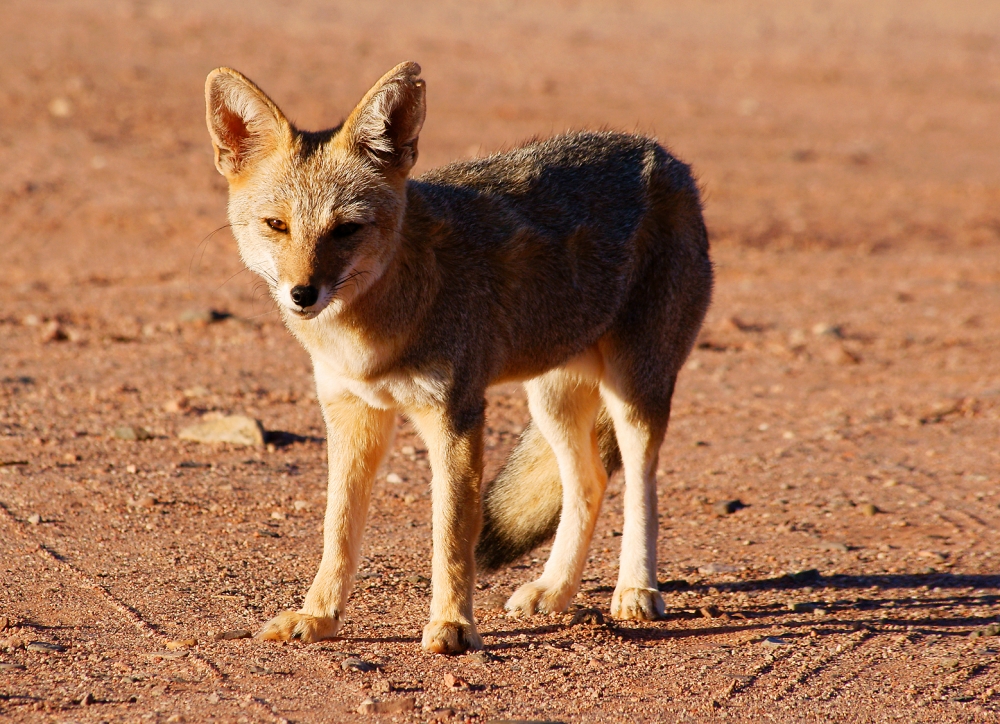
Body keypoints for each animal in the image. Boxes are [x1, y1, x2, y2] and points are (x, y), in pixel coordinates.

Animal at [207, 62, 716, 656]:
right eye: (277, 225)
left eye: (346, 229)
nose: (303, 294)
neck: (369, 338)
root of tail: (665, 155)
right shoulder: (353, 415)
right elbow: (338, 530)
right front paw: (318, 616)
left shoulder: (455, 417)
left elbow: (450, 535)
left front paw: (452, 625)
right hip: (553, 401)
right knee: (588, 483)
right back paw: (554, 589)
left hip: (633, 392)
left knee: (639, 485)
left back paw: (636, 589)